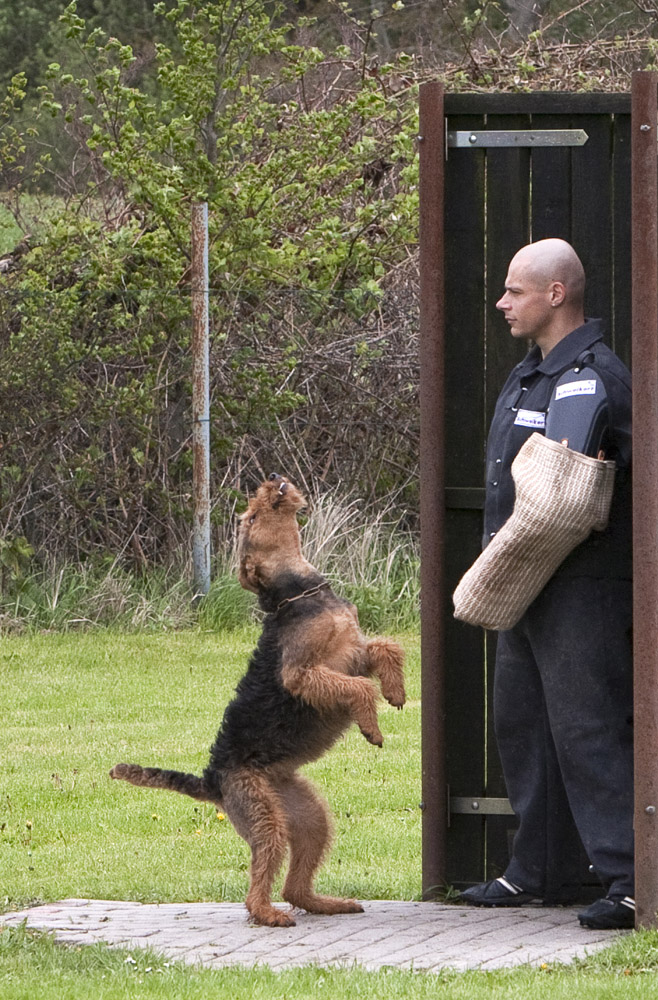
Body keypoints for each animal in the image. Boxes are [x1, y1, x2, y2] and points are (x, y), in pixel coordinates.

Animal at [110, 472, 402, 924]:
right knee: (260, 881)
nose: (274, 479)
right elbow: (358, 688)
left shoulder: (354, 652)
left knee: (295, 885)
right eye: (249, 519)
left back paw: (328, 903)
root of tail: (211, 781)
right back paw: (270, 915)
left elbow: (387, 648)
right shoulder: (303, 674)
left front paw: (397, 691)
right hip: (263, 817)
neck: (300, 592)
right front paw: (372, 728)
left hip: (308, 816)